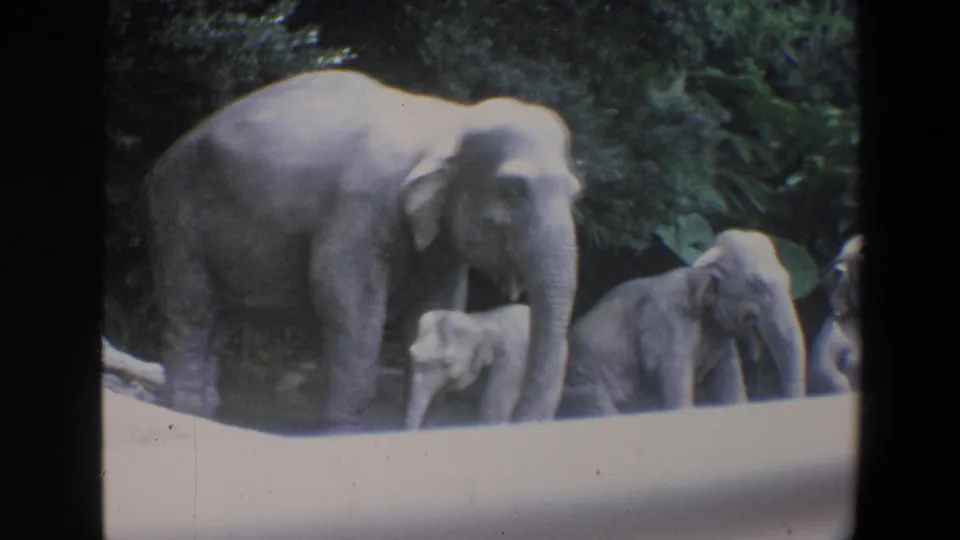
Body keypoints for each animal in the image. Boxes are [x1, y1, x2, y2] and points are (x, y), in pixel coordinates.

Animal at [557, 229, 807, 417]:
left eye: (789, 279)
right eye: (757, 285)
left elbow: (731, 392)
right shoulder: (667, 323)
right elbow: (677, 392)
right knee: (596, 399)